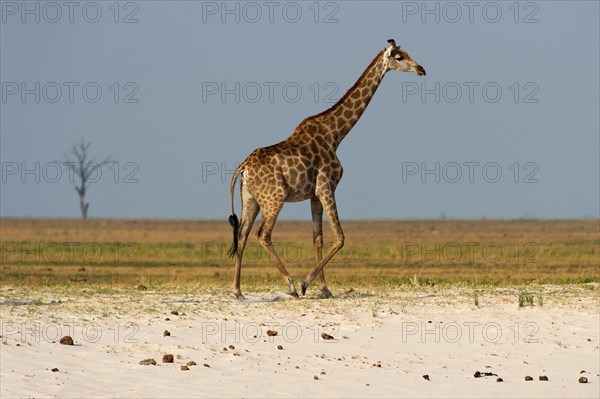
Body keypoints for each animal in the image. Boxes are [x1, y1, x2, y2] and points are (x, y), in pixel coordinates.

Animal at [226, 39, 426, 300]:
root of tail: (243, 168)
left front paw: (325, 288)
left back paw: (238, 290)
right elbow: (340, 237)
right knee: (263, 234)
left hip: (250, 199)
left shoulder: (314, 195)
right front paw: (305, 284)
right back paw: (290, 285)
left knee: (242, 236)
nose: (421, 69)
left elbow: (317, 238)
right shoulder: (327, 188)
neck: (336, 134)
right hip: (274, 198)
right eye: (399, 57)